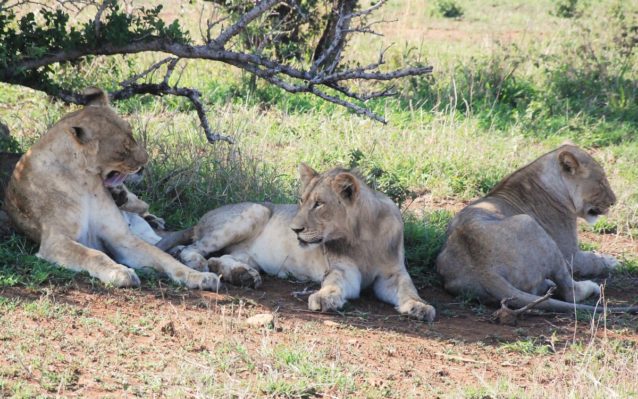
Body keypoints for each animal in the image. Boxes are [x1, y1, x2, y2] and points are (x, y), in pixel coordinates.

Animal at [3, 88, 220, 290]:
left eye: (132, 135)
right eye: (122, 149)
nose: (146, 161)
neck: (85, 180)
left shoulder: (122, 237)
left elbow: (164, 258)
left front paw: (199, 277)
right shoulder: (55, 241)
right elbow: (93, 254)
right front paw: (120, 272)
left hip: (135, 204)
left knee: (151, 220)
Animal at [178, 163, 438, 322]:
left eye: (319, 204)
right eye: (301, 201)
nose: (294, 229)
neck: (362, 236)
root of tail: (202, 218)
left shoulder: (393, 274)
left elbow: (409, 289)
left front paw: (420, 306)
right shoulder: (343, 270)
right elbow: (334, 284)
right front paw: (324, 298)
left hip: (247, 252)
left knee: (220, 258)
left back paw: (243, 275)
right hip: (256, 210)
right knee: (190, 249)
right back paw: (199, 262)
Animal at [438, 145, 638, 314]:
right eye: (602, 182)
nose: (613, 201)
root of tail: (484, 270)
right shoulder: (570, 254)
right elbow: (592, 259)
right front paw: (613, 261)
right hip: (532, 226)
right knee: (570, 292)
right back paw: (588, 287)